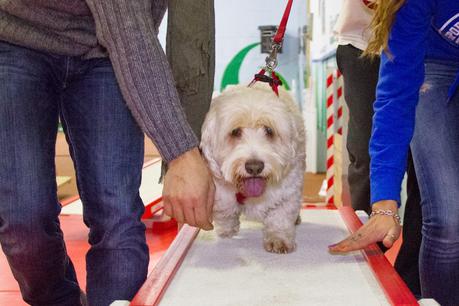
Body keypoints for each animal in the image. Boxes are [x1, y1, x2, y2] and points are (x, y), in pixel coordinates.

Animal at [200, 82, 306, 252]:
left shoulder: (288, 191)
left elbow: (280, 217)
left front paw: (279, 239)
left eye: (269, 130)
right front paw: (227, 229)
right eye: (235, 131)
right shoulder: (220, 192)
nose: (254, 167)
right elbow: (224, 211)